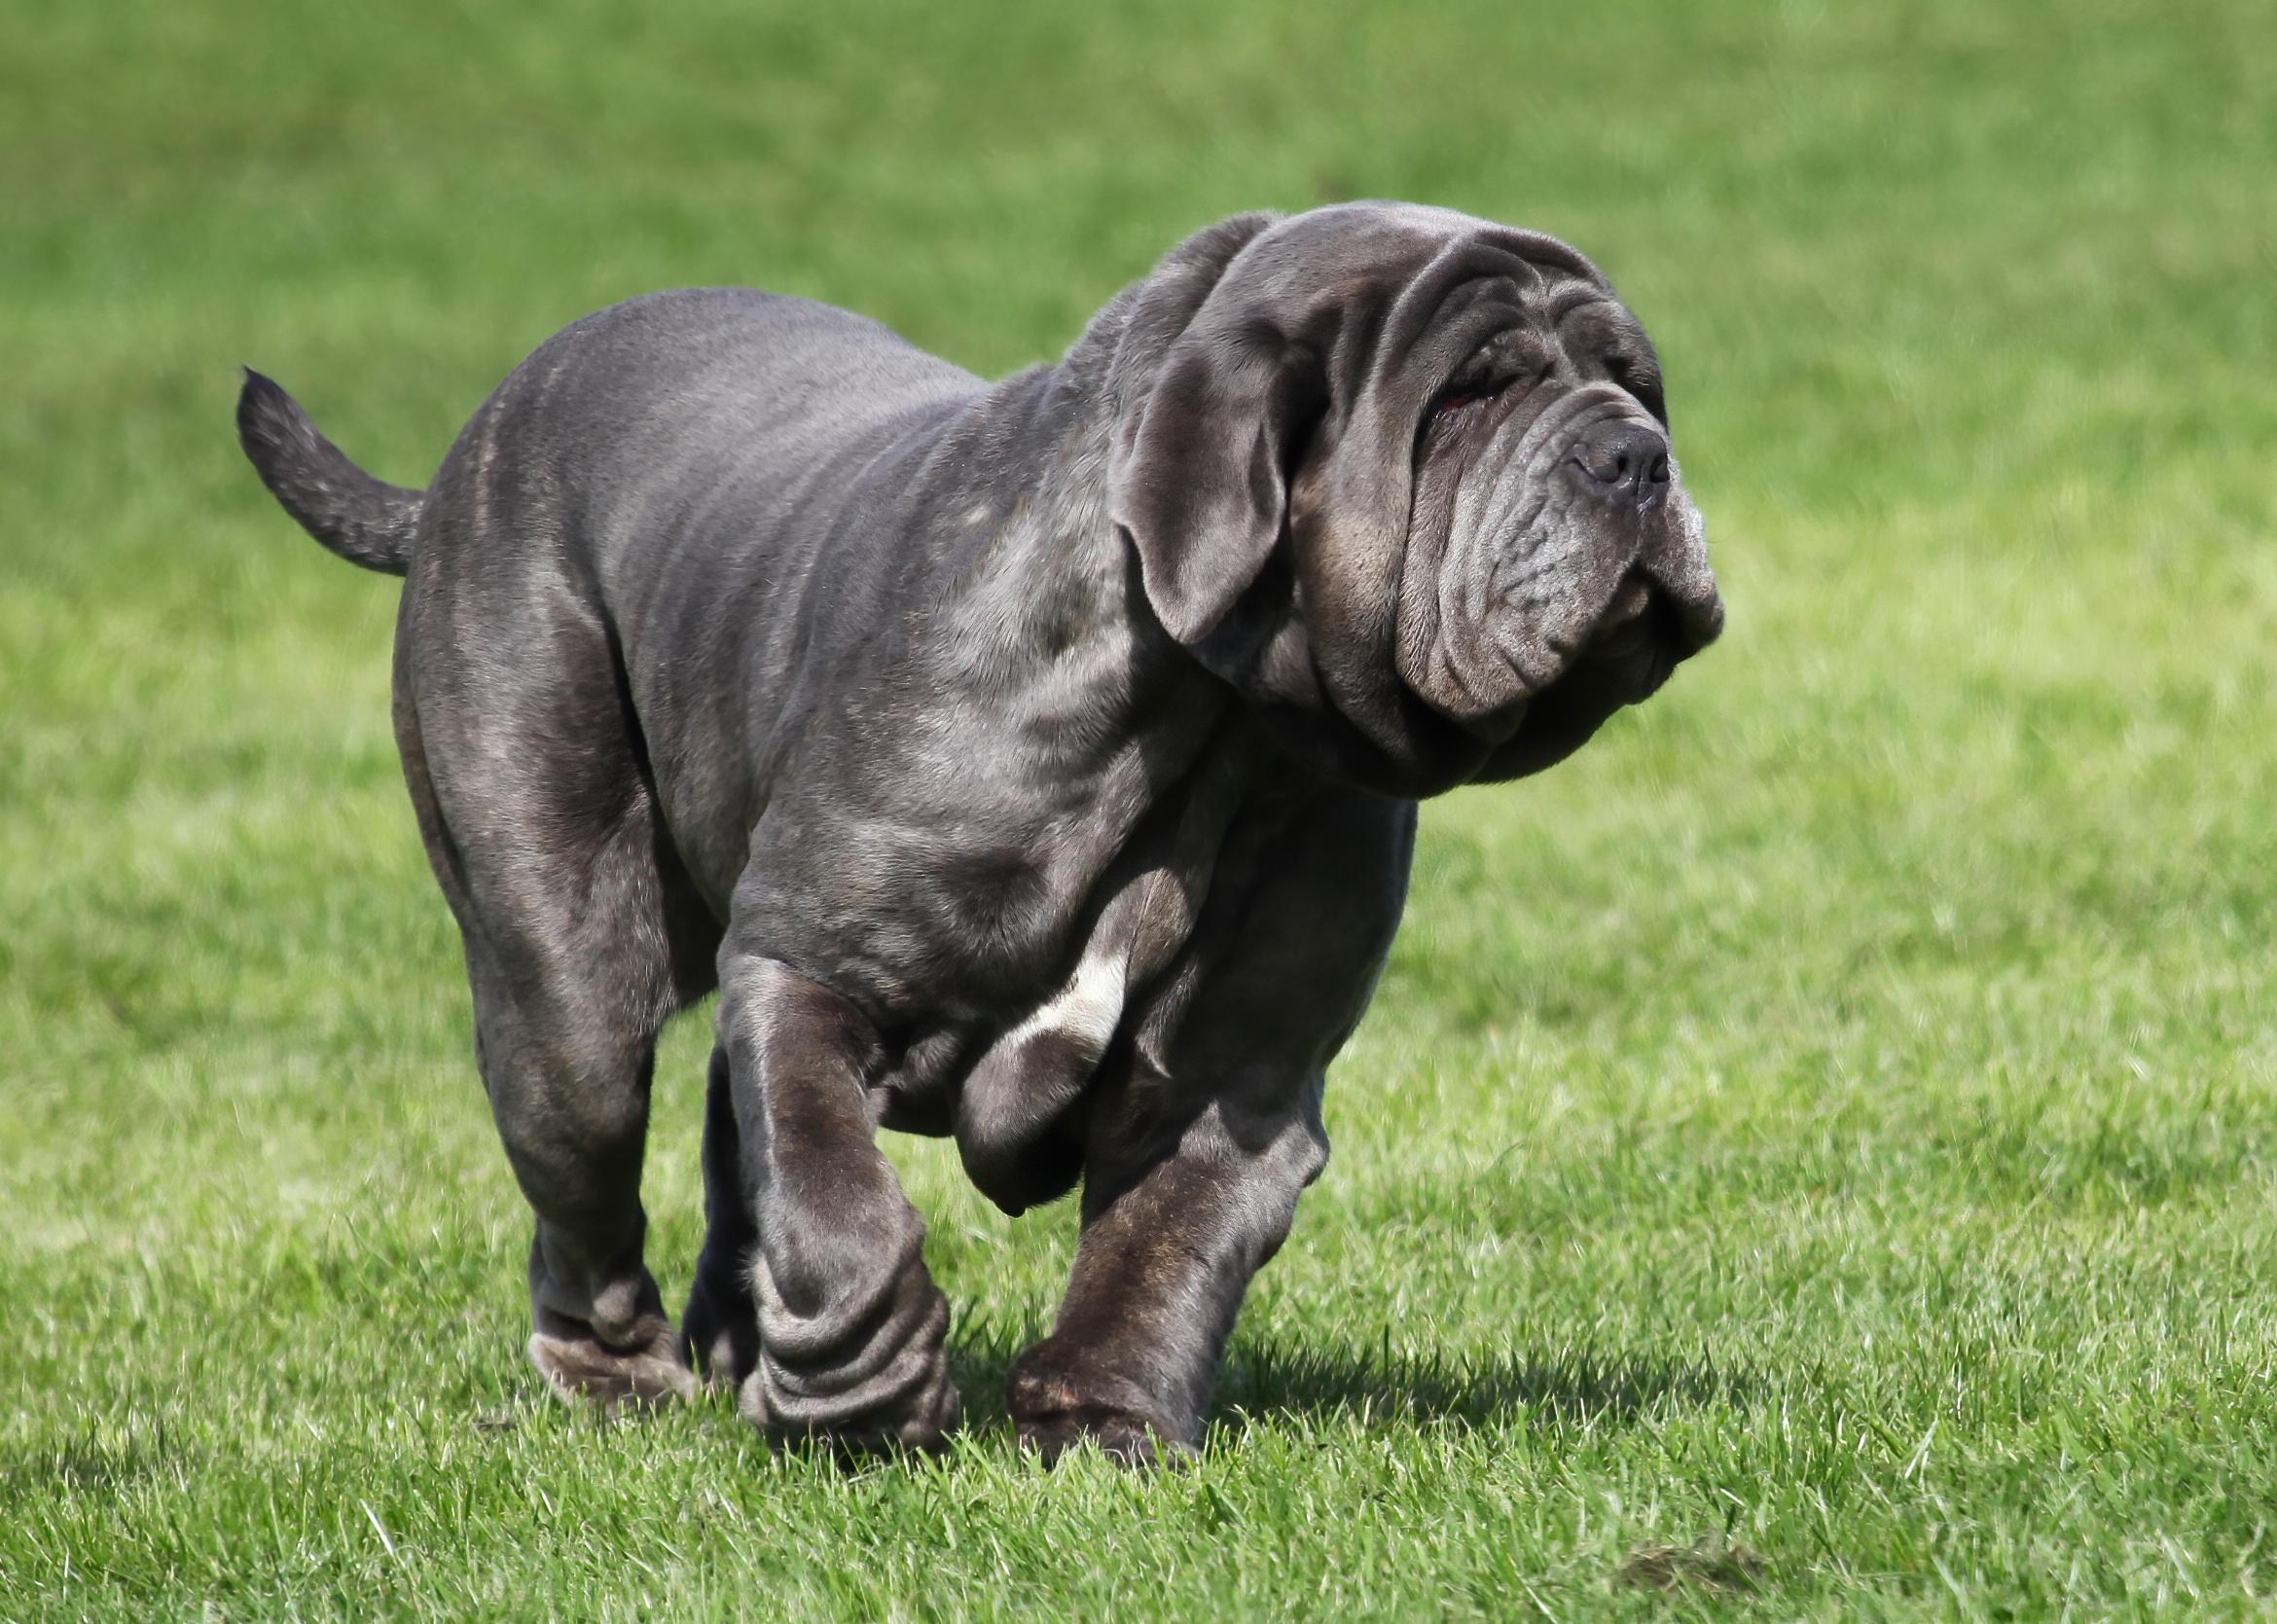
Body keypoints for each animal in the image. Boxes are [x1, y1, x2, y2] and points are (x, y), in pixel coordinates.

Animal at [235, 198, 1721, 1458]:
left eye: (1637, 381)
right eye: (1467, 394)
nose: (1635, 453)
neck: (1220, 731)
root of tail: (463, 458)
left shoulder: (1239, 1080)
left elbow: (1161, 1257)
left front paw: (1102, 1421)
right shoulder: (813, 967)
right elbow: (836, 1195)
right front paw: (869, 1393)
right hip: (566, 995)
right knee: (595, 1162)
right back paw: (626, 1378)